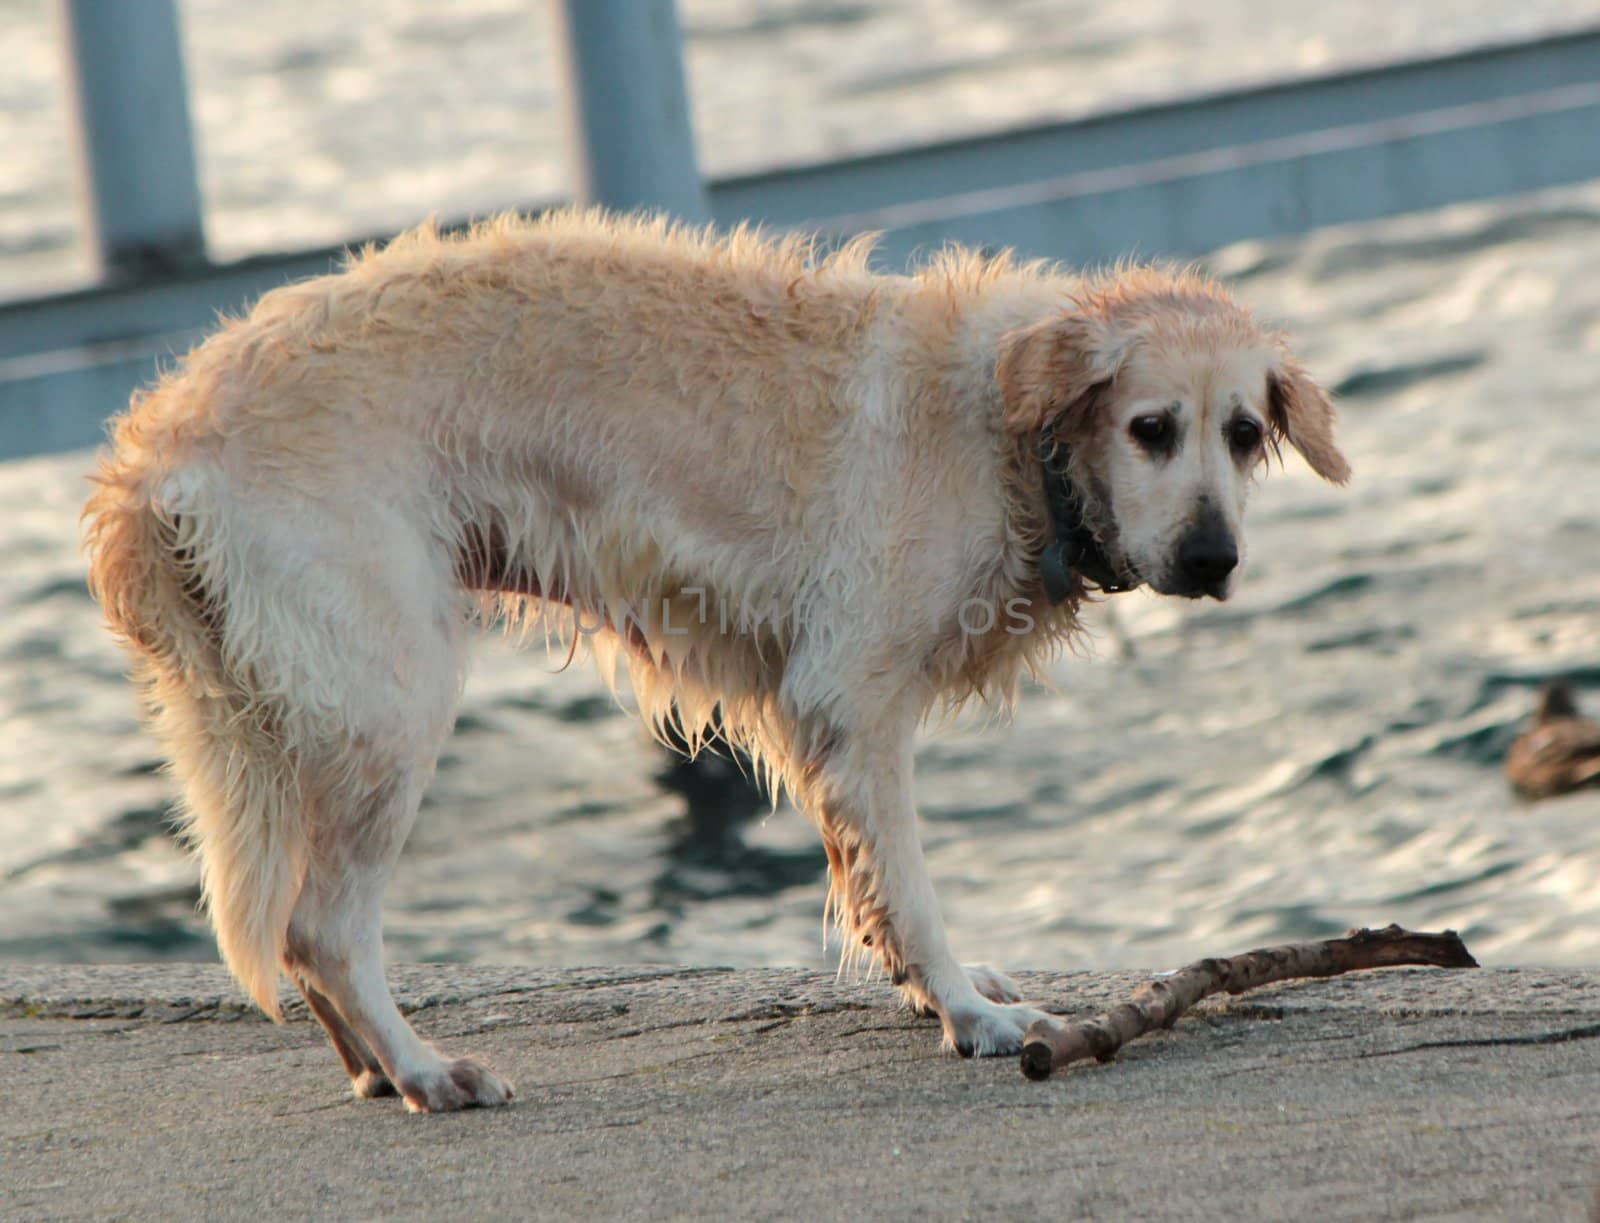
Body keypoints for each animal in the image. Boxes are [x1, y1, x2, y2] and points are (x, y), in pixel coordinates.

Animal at [81, 209, 1344, 1107]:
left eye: (1244, 433)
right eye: (1150, 428)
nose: (1213, 557)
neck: (1008, 434)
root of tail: (157, 449)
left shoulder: (814, 716)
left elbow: (876, 892)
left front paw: (943, 989)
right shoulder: (851, 698)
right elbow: (911, 888)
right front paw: (974, 1018)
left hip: (279, 712)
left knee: (294, 930)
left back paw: (373, 1066)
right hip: (391, 699)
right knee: (320, 926)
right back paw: (427, 1067)